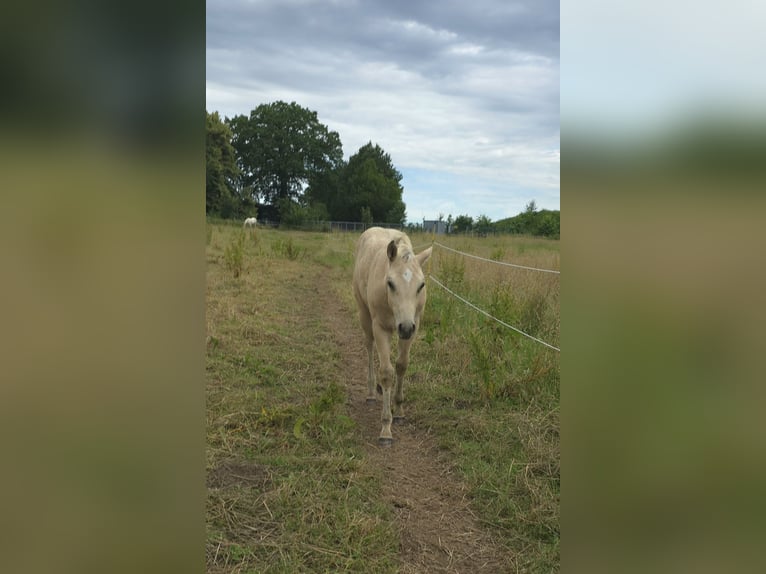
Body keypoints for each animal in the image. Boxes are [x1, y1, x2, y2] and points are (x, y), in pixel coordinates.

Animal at [352, 227, 432, 446]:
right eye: (390, 283)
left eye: (421, 285)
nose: (404, 327)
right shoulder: (381, 328)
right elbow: (387, 372)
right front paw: (386, 428)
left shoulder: (414, 325)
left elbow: (401, 366)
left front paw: (399, 411)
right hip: (364, 314)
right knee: (369, 347)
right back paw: (372, 391)